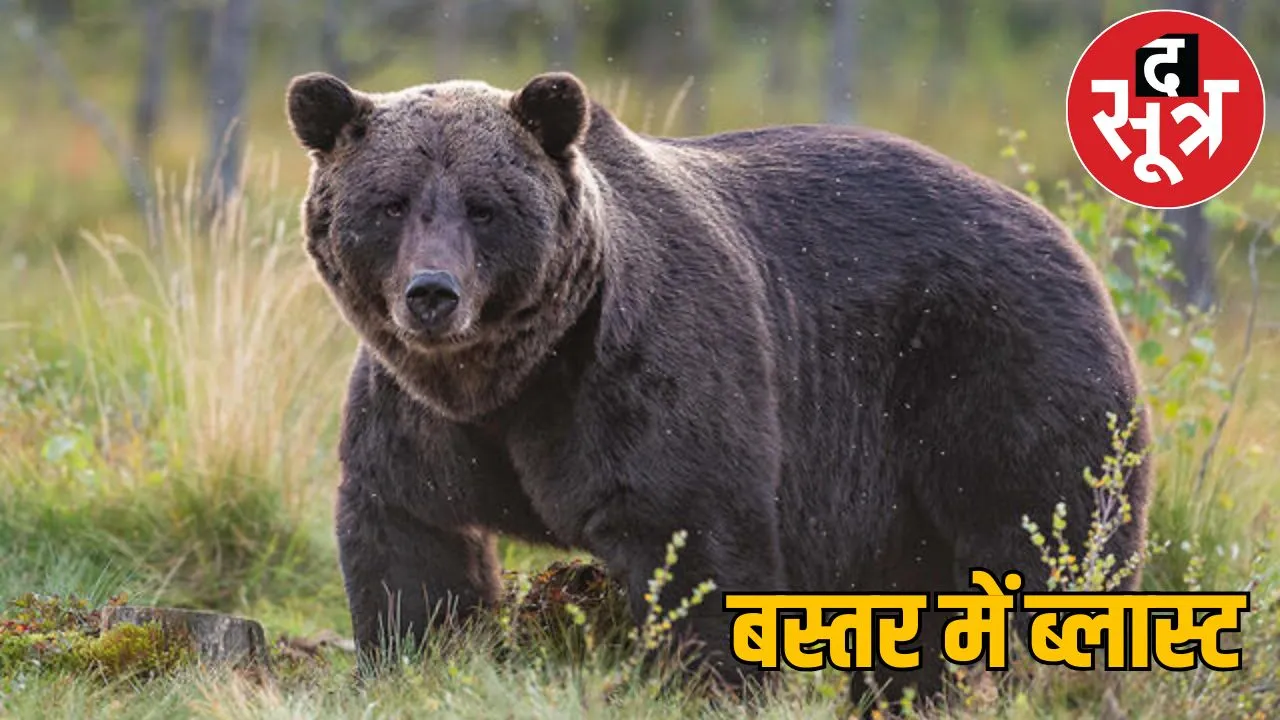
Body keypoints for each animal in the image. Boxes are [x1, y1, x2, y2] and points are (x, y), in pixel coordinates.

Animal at [284, 69, 1152, 705]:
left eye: (485, 207)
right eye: (390, 203)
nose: (432, 293)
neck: (513, 376)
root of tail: (1062, 233)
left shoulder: (642, 376)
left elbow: (694, 539)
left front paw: (704, 683)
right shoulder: (420, 415)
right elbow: (413, 544)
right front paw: (414, 663)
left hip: (999, 371)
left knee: (1048, 547)